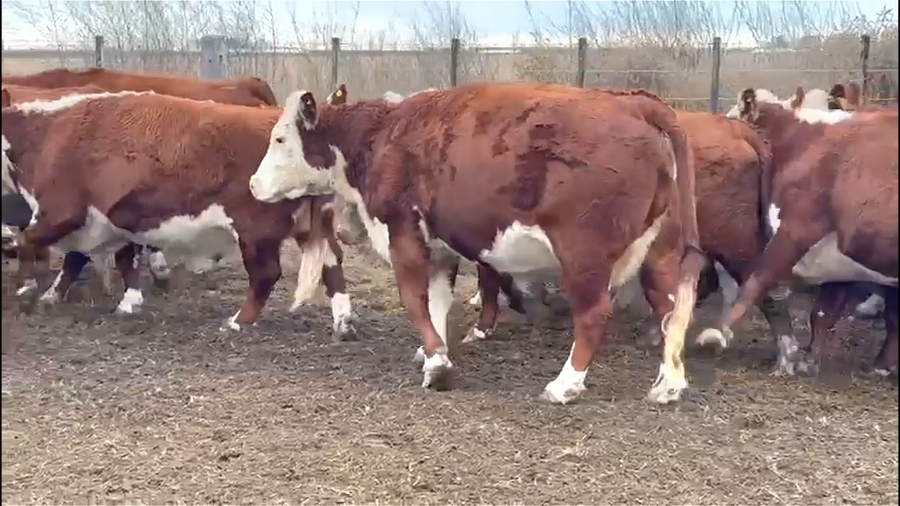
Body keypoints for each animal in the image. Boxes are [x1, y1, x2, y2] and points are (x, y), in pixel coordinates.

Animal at [1, 89, 357, 338]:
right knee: (332, 260)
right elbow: (104, 259)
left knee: (267, 273)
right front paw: (122, 302)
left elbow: (30, 245)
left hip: (256, 230)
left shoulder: (62, 212)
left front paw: (26, 291)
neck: (48, 135)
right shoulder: (112, 219)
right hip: (310, 223)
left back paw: (238, 322)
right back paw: (343, 322)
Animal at [248, 83, 708, 405]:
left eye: (280, 139)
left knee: (595, 315)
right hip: (660, 249)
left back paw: (565, 385)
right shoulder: (440, 247)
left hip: (584, 255)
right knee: (671, 310)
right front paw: (429, 351)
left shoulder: (404, 234)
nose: (253, 184)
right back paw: (669, 385)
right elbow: (437, 301)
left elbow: (414, 298)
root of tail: (635, 103)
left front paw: (437, 364)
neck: (383, 136)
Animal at [701, 89, 898, 377]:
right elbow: (823, 312)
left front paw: (717, 333)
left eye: (734, 115)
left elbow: (756, 280)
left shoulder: (798, 227)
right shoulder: (840, 255)